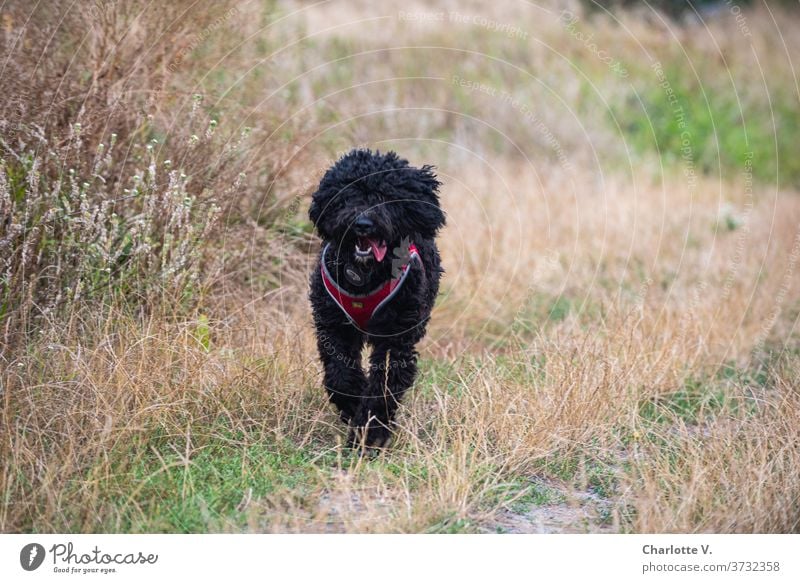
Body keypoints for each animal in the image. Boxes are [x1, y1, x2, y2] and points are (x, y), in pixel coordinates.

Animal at [308, 148, 444, 450]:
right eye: (349, 194)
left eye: (385, 196)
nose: (362, 223)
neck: (364, 275)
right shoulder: (333, 325)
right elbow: (339, 376)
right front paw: (351, 403)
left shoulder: (396, 337)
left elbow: (384, 385)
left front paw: (369, 435)